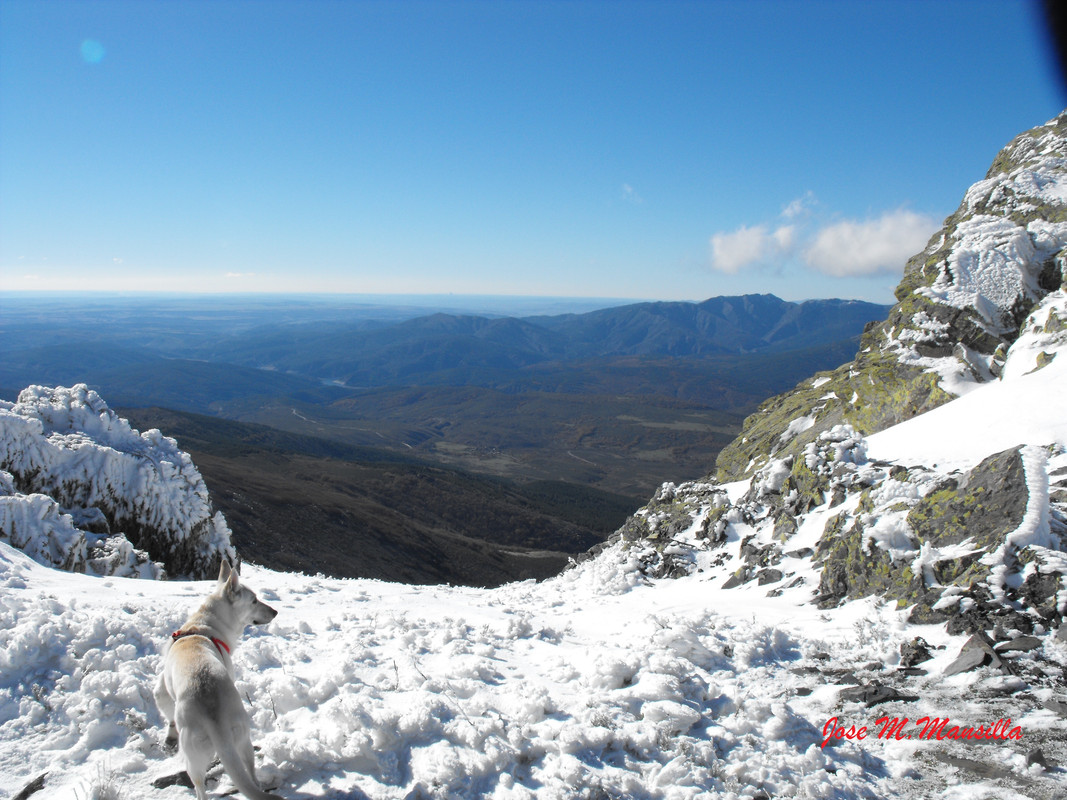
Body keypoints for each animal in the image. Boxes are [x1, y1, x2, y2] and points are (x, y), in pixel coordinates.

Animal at [154, 563, 281, 800]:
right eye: (254, 600)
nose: (276, 612)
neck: (201, 626)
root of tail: (215, 718)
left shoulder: (162, 688)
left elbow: (166, 710)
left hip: (196, 756)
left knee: (202, 787)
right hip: (242, 739)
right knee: (250, 775)